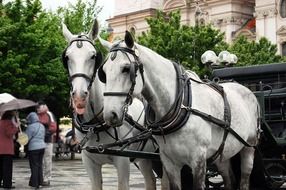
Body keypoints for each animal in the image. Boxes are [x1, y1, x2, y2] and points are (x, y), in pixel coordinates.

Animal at [61, 20, 159, 190]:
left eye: (93, 56)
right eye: (67, 57)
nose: (79, 96)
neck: (95, 123)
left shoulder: (122, 161)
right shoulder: (89, 162)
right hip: (144, 159)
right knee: (150, 180)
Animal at [98, 31, 262, 190]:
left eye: (126, 69)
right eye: (103, 73)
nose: (110, 115)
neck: (181, 106)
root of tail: (245, 89)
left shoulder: (198, 160)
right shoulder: (170, 162)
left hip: (249, 146)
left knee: (244, 179)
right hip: (223, 153)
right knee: (229, 180)